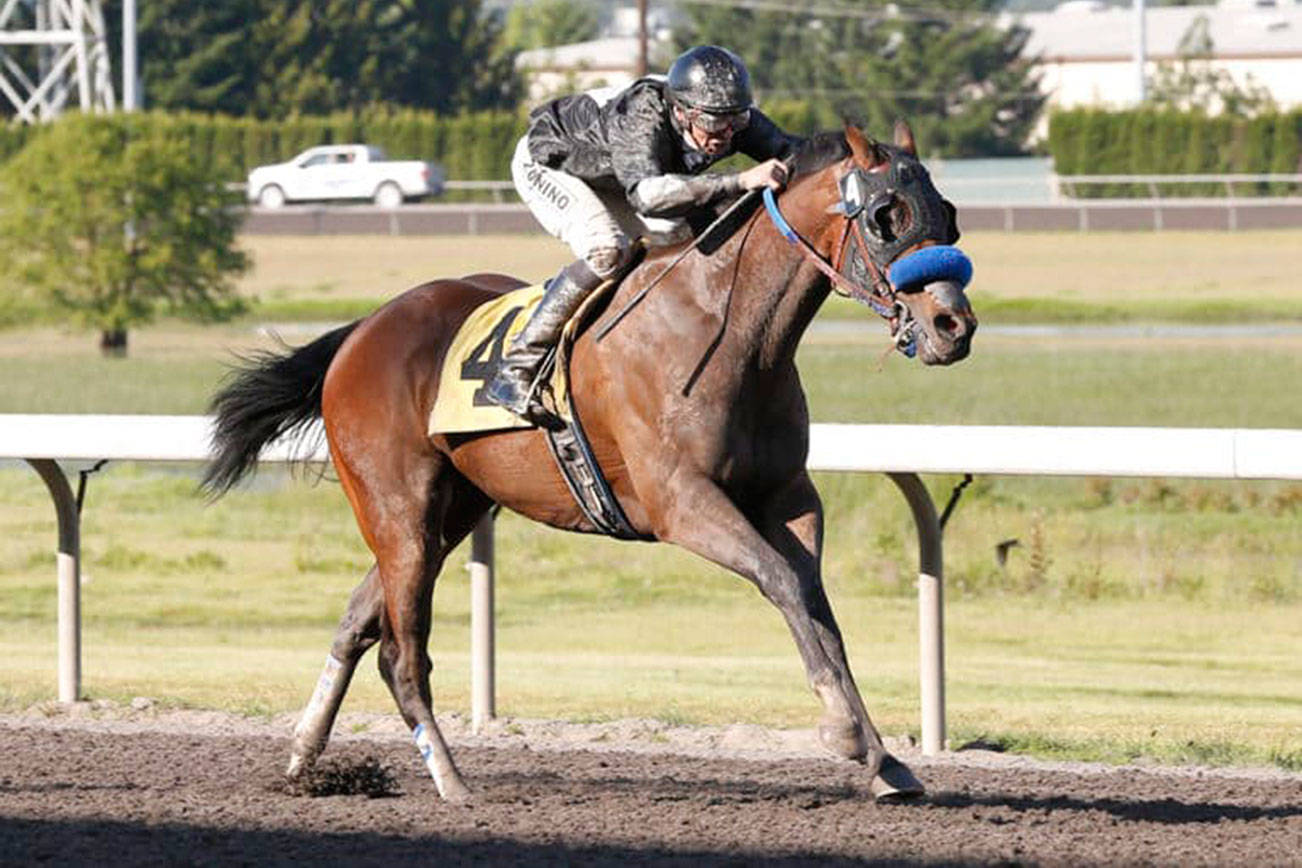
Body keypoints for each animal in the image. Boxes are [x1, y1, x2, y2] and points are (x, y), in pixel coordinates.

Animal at [205, 120, 979, 801]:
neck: (729, 329)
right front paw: (847, 735)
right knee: (400, 652)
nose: (953, 326)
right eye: (885, 215)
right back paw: (452, 782)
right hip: (399, 510)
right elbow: (782, 581)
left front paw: (885, 761)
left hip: (449, 512)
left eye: (947, 213)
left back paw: (304, 760)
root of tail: (364, 329)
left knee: (357, 622)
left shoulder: (788, 497)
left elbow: (816, 606)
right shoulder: (681, 503)